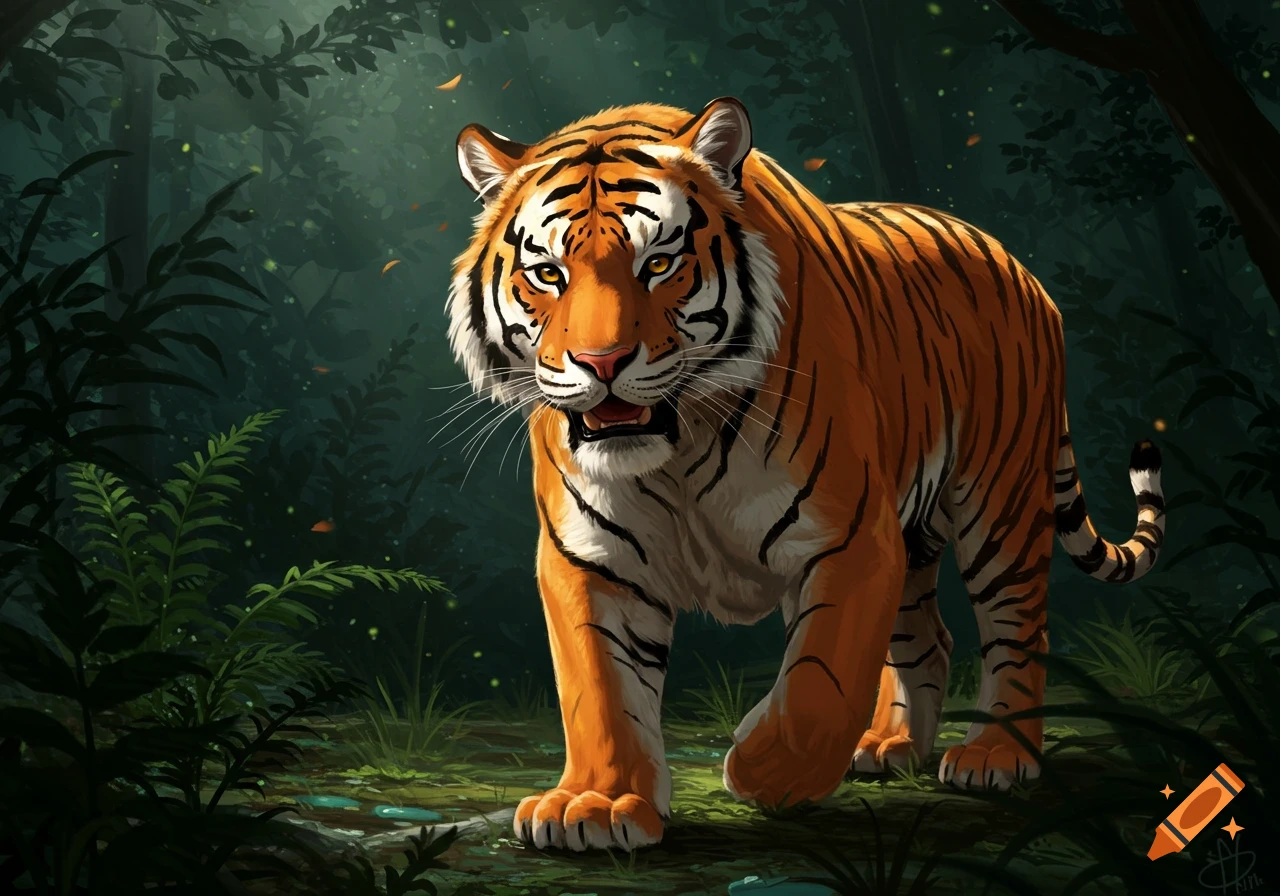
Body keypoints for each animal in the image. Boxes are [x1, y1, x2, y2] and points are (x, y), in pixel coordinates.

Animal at [446, 97, 1167, 853]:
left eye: (659, 262)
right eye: (548, 273)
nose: (601, 362)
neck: (678, 447)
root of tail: (1016, 265)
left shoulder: (849, 538)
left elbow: (821, 681)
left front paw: (766, 770)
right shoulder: (591, 558)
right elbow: (600, 689)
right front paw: (596, 803)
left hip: (999, 502)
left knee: (1018, 628)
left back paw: (995, 757)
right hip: (914, 538)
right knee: (929, 640)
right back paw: (890, 746)